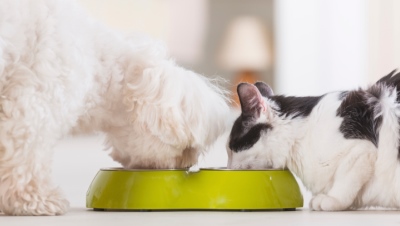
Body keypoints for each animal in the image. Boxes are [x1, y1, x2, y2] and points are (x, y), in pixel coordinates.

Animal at [0, 0, 230, 215]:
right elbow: (26, 155)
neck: (98, 64)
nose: (186, 165)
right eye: (188, 148)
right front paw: (35, 200)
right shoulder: (35, 101)